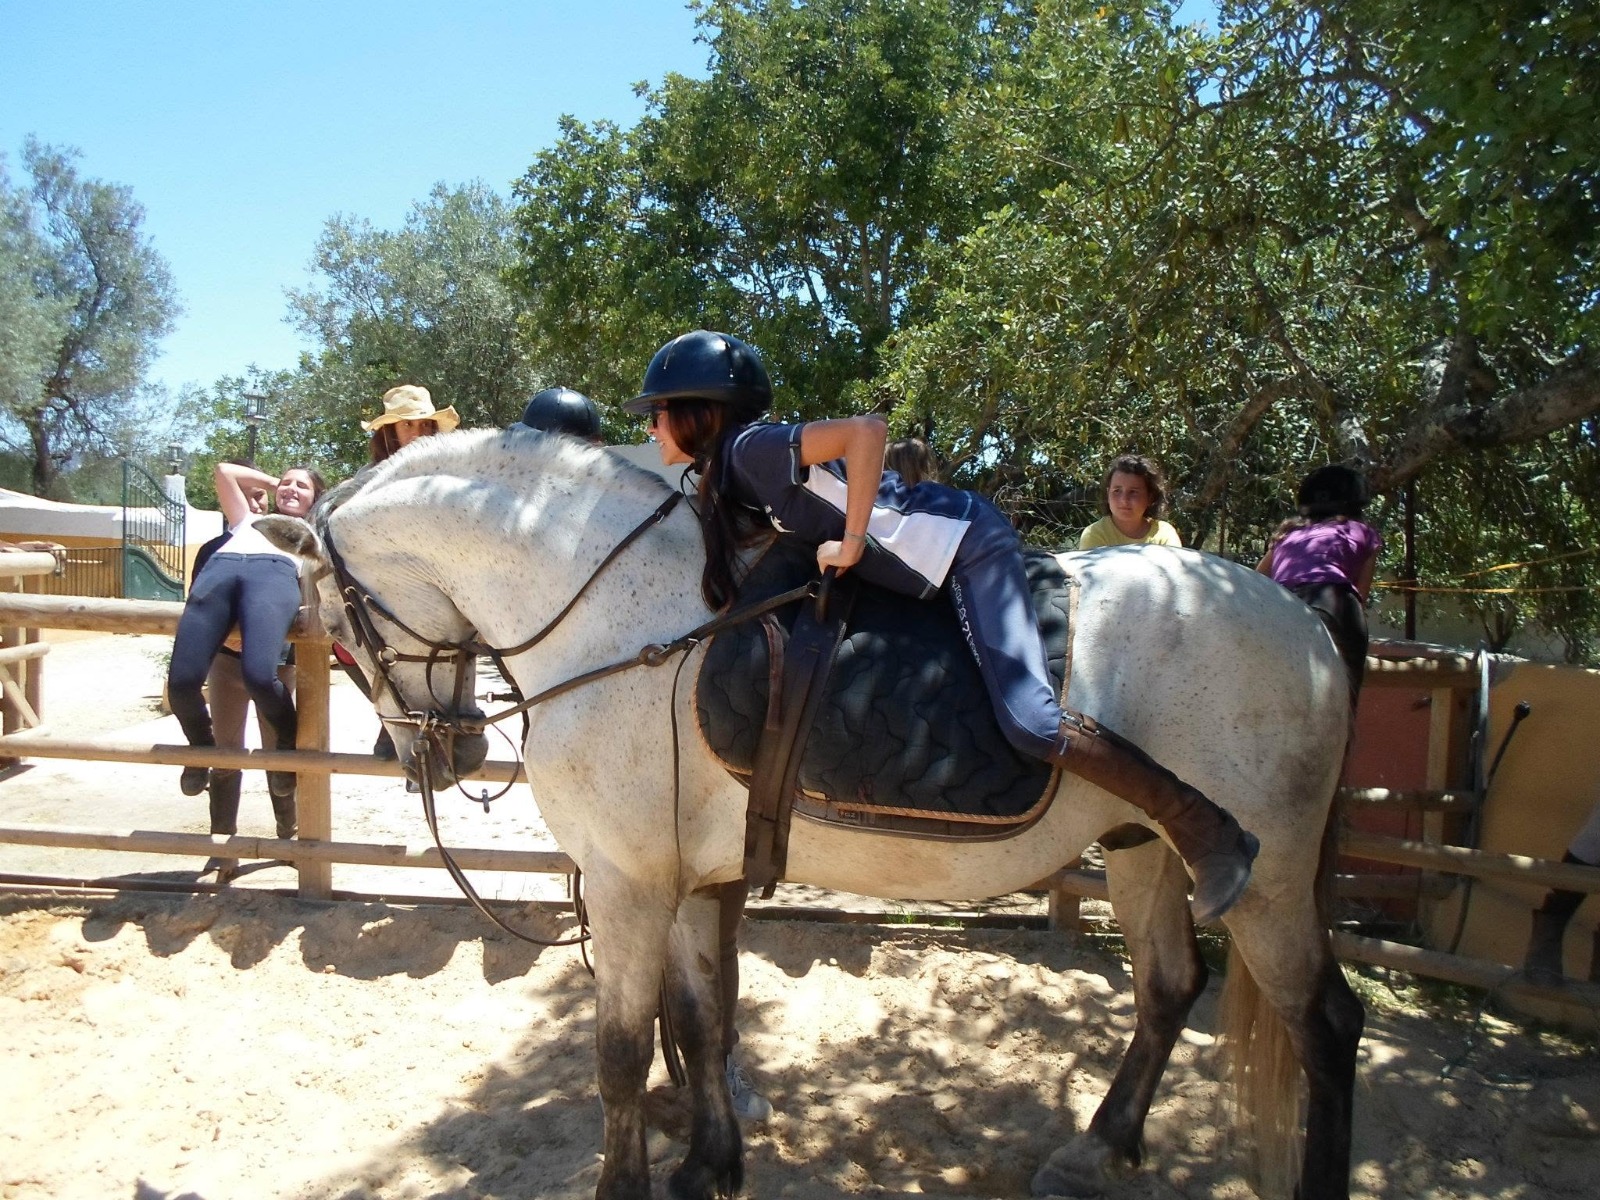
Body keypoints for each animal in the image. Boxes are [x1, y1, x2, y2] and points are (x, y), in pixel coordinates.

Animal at [263, 427, 1363, 1200]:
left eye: (336, 625)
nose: (437, 753)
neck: (619, 612)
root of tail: (1305, 625)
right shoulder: (686, 881)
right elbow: (701, 1021)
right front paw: (709, 1166)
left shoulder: (625, 887)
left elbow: (620, 1053)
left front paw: (634, 1180)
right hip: (1140, 848)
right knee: (1170, 988)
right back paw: (1098, 1149)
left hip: (1269, 879)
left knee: (1324, 1021)